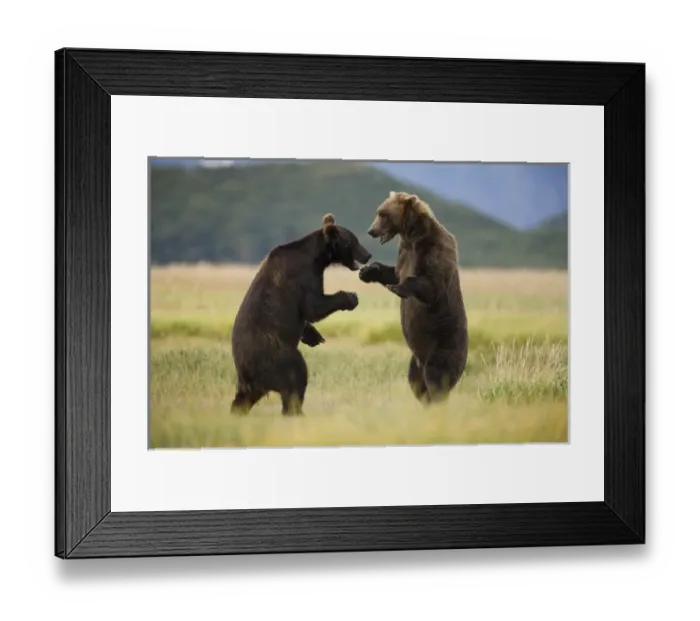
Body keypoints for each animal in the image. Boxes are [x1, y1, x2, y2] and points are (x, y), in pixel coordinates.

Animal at [230, 214, 372, 416]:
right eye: (353, 241)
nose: (368, 255)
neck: (317, 258)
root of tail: (249, 372)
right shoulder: (301, 276)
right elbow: (313, 306)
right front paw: (351, 297)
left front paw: (314, 336)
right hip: (277, 355)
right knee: (295, 379)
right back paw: (296, 412)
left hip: (249, 379)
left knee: (243, 399)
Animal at [359, 191, 468, 405]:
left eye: (383, 214)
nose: (371, 230)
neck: (412, 236)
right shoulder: (404, 253)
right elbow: (392, 272)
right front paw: (367, 271)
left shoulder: (432, 250)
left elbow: (430, 284)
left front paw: (397, 288)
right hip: (415, 359)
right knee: (416, 382)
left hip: (443, 347)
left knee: (437, 380)